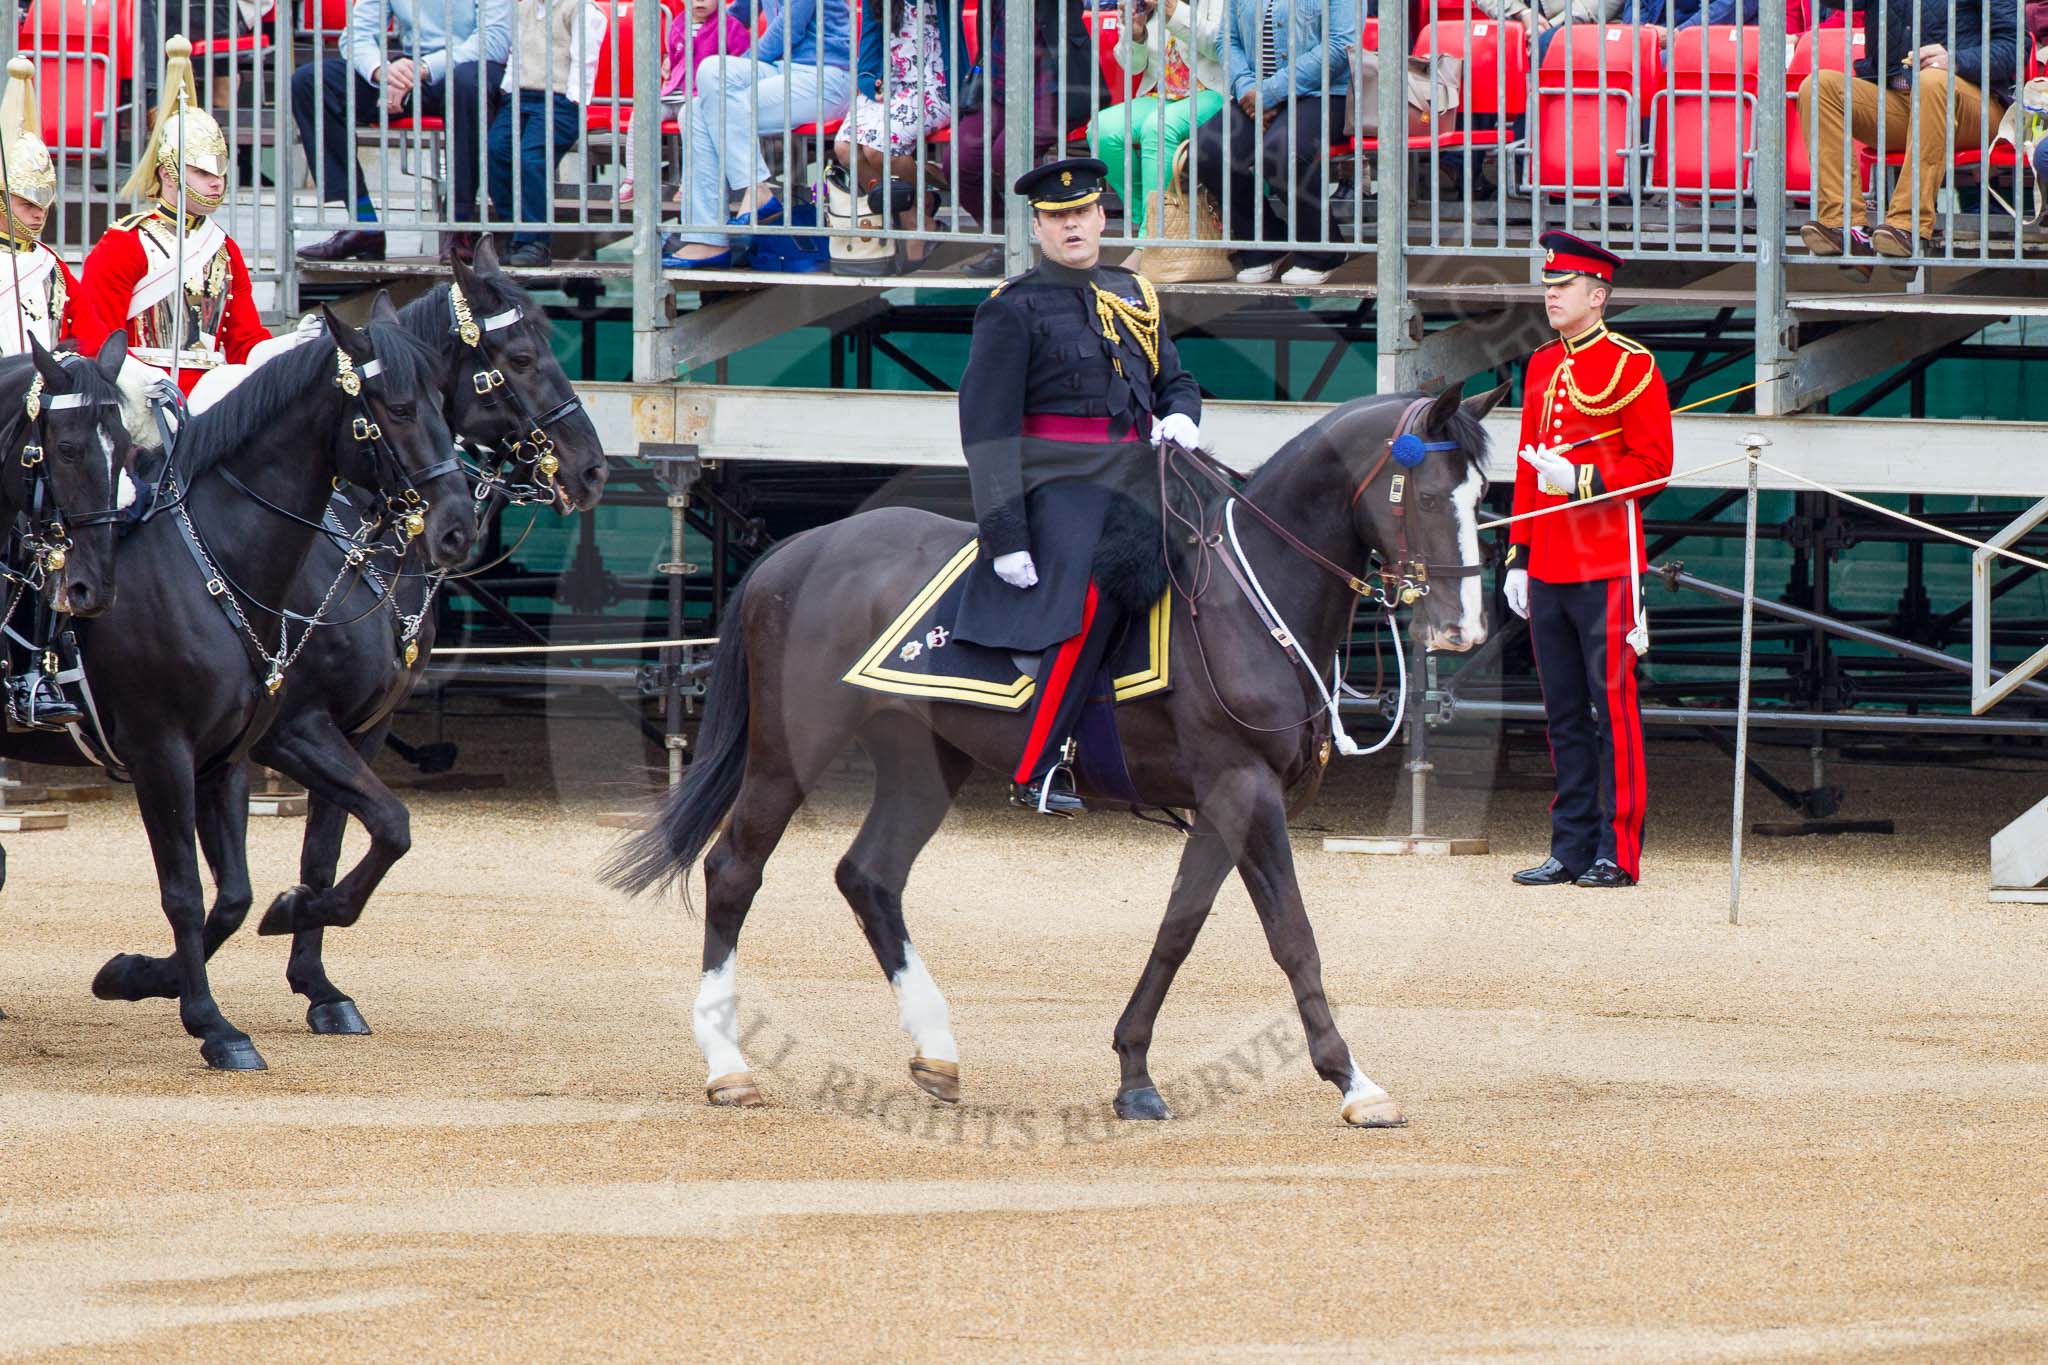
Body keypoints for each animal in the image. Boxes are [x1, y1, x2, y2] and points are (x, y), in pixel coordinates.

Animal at [9, 304, 477, 1072]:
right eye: (401, 409)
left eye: (445, 402)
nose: (456, 528)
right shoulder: (176, 751)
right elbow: (186, 892)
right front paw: (211, 1020)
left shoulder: (235, 752)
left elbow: (256, 884)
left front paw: (144, 974)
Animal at [602, 384, 1507, 1129]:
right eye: (1431, 495)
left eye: (1481, 497)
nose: (1466, 630)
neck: (1248, 600)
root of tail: (796, 553)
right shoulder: (1243, 789)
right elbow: (1292, 936)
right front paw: (1353, 1080)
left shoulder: (1228, 802)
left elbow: (1178, 929)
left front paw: (1134, 1074)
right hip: (790, 752)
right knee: (734, 871)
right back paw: (728, 1066)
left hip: (927, 759)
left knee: (870, 876)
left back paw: (936, 1049)